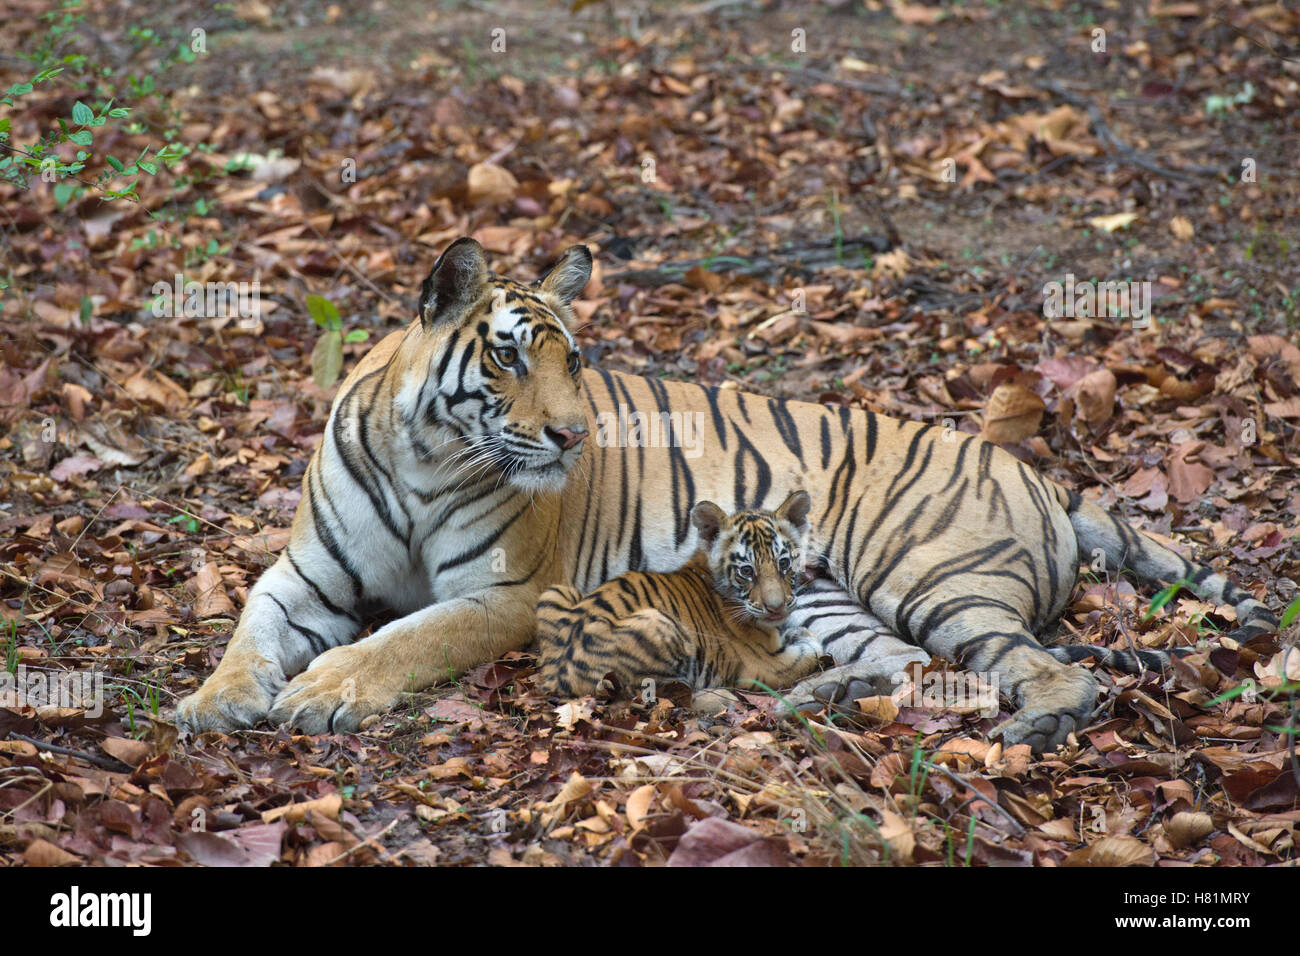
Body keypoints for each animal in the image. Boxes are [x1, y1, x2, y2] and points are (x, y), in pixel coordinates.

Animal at [175, 238, 1279, 749]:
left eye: (576, 362)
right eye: (509, 357)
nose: (573, 434)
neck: (425, 455)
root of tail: (1040, 471)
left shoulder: (507, 595)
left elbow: (407, 639)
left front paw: (325, 690)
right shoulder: (303, 573)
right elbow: (249, 630)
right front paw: (214, 703)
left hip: (937, 578)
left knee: (1035, 670)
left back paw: (1028, 727)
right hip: (823, 596)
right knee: (901, 665)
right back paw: (816, 697)